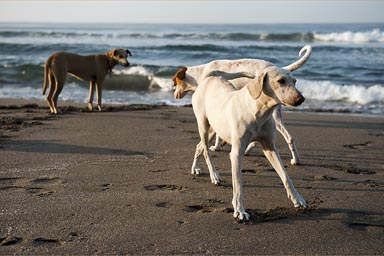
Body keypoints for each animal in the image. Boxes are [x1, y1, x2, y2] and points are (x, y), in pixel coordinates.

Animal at [172, 45, 310, 165]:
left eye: (176, 82)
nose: (174, 95)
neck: (201, 73)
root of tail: (275, 66)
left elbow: (217, 134)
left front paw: (216, 146)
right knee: (288, 137)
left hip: (274, 118)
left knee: (287, 136)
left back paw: (294, 159)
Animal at [192, 61, 308, 220]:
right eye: (281, 81)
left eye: (295, 81)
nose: (301, 99)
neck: (259, 110)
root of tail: (209, 78)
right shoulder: (236, 153)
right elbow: (238, 185)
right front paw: (239, 210)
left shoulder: (270, 147)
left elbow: (285, 176)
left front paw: (298, 199)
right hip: (203, 125)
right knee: (206, 152)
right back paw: (214, 175)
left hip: (214, 128)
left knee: (199, 147)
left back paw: (195, 168)